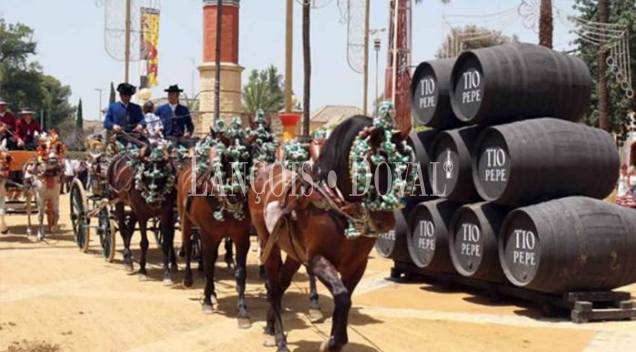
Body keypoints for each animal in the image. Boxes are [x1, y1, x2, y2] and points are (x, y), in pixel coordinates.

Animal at [107, 138, 176, 284]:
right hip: (117, 200)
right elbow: (144, 243)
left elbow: (166, 242)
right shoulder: (142, 215)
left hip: (134, 209)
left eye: (163, 176)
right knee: (123, 229)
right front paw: (143, 271)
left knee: (130, 228)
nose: (153, 202)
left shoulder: (165, 214)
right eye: (146, 176)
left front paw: (167, 273)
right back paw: (128, 259)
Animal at [176, 126, 256, 328]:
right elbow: (209, 266)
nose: (237, 194)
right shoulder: (208, 235)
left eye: (249, 159)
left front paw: (243, 311)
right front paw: (206, 302)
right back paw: (188, 279)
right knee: (188, 246)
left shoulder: (241, 237)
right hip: (186, 220)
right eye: (228, 159)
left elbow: (240, 273)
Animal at [246, 113, 414, 352]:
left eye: (406, 168)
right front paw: (333, 342)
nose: (385, 222)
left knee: (281, 284)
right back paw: (279, 339)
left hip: (294, 253)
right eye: (374, 164)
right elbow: (342, 296)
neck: (336, 203)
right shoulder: (317, 259)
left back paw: (270, 329)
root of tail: (265, 170)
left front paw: (335, 339)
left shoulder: (357, 265)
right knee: (274, 286)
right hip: (269, 243)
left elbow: (345, 300)